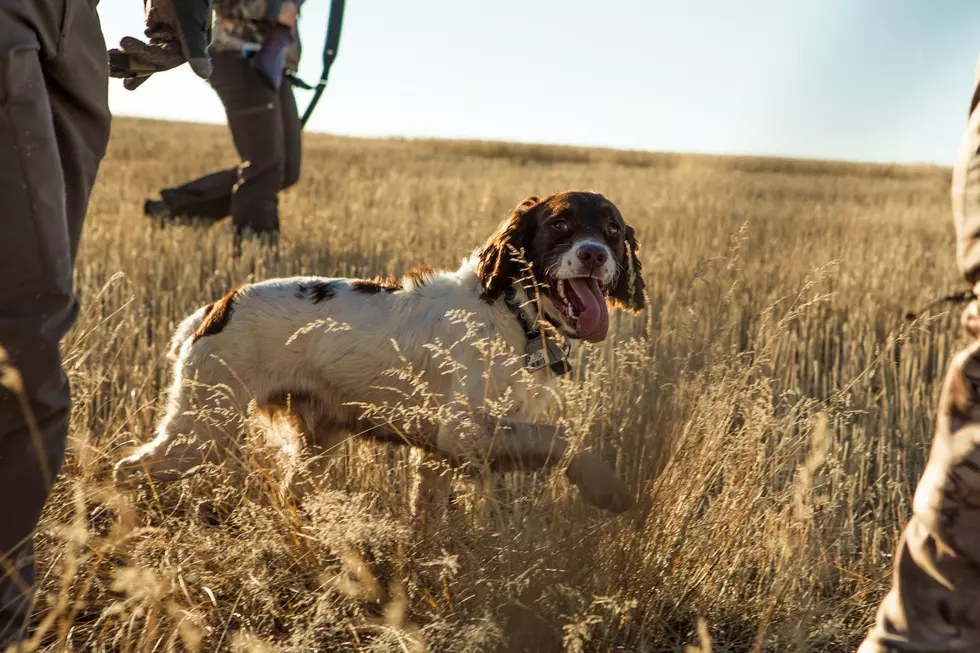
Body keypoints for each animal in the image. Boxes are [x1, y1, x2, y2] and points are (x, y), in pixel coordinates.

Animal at [115, 191, 648, 512]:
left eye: (612, 230)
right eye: (560, 225)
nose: (594, 254)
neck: (514, 316)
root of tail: (215, 307)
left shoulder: (439, 454)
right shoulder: (461, 431)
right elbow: (560, 438)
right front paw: (606, 487)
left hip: (312, 443)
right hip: (201, 430)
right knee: (126, 469)